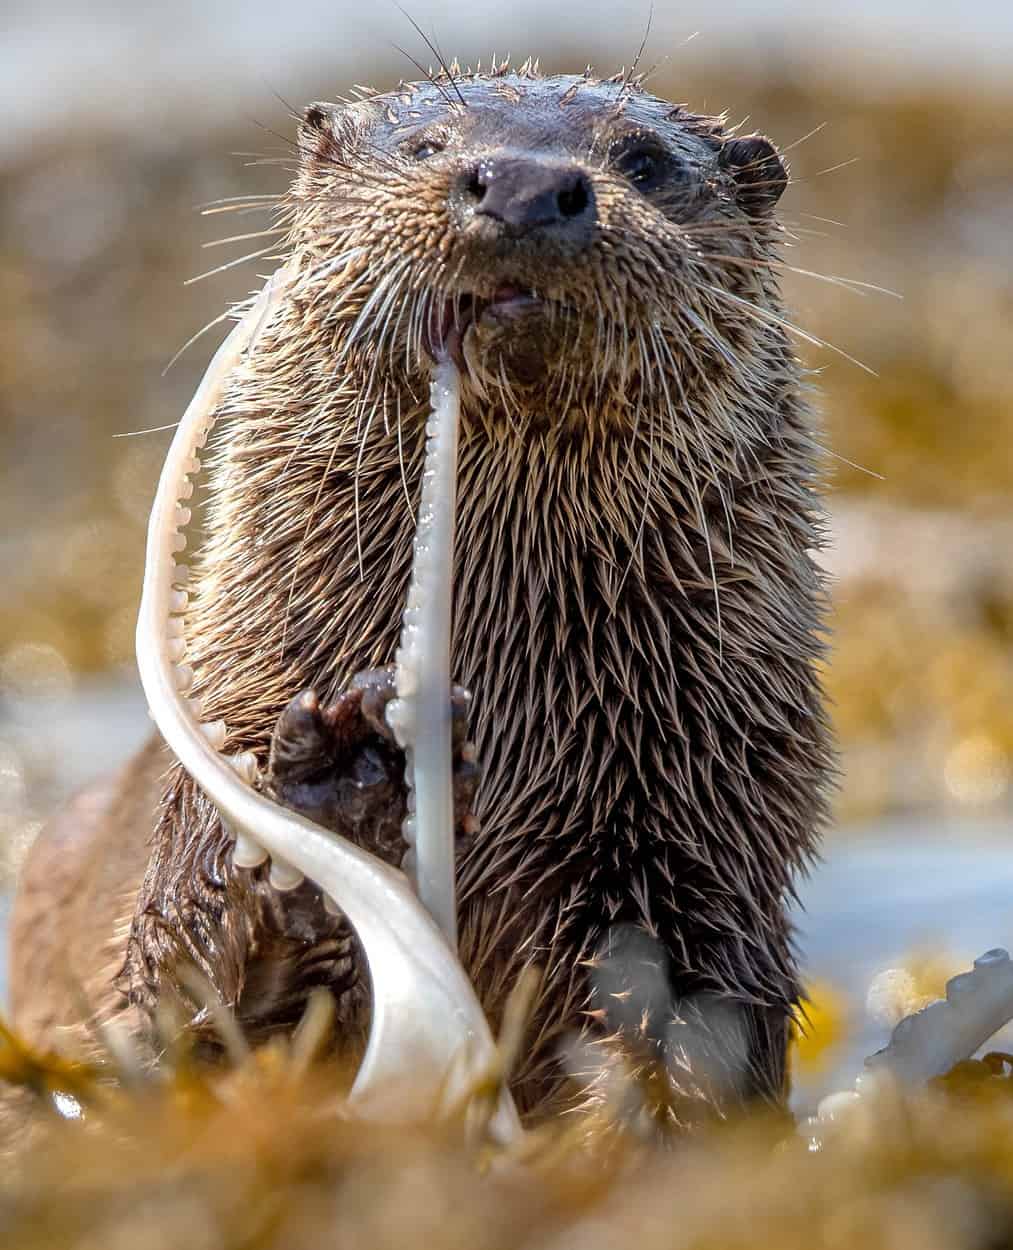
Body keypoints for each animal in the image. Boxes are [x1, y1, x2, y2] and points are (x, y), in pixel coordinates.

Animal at [7, 60, 830, 1115]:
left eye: (644, 161)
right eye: (424, 145)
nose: (522, 184)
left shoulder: (706, 838)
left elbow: (697, 1030)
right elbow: (173, 996)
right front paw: (340, 784)